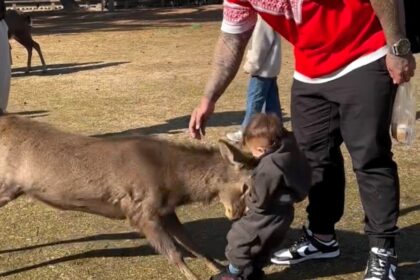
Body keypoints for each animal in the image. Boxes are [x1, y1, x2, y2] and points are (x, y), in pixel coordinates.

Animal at [0, 114, 256, 280]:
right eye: (246, 187)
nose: (237, 214)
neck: (175, 183)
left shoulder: (166, 210)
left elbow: (193, 245)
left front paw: (218, 267)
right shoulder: (140, 210)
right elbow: (175, 254)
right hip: (7, 183)